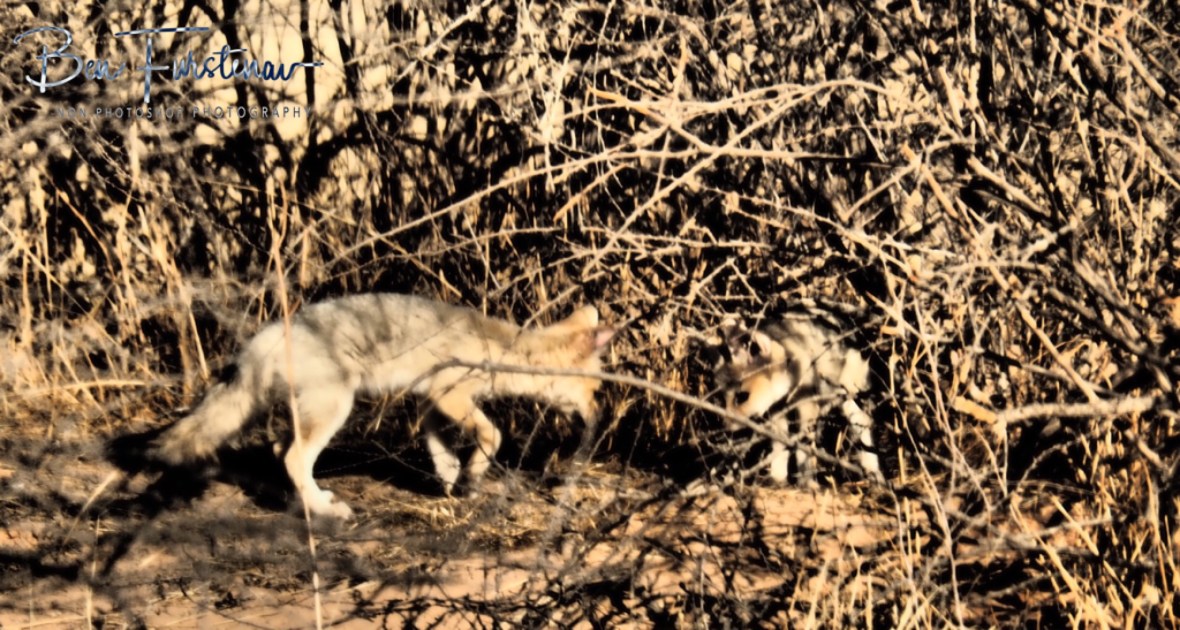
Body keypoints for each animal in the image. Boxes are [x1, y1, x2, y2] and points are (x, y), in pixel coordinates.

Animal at [151, 293, 615, 520]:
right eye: (596, 391)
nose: (600, 419)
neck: (501, 347)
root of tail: (266, 335)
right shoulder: (450, 395)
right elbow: (492, 433)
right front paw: (471, 476)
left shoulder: (431, 399)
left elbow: (438, 445)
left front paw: (451, 476)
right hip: (335, 408)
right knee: (293, 458)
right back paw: (325, 511)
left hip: (310, 412)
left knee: (279, 451)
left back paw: (303, 503)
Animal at [714, 307, 882, 487]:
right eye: (722, 399)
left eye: (742, 397)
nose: (725, 428)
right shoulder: (776, 411)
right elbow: (780, 443)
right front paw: (777, 479)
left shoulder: (806, 404)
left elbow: (803, 445)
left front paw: (807, 483)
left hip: (851, 390)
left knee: (864, 421)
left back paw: (874, 471)